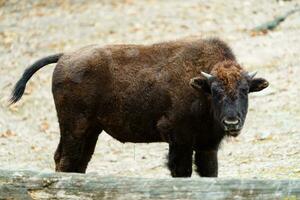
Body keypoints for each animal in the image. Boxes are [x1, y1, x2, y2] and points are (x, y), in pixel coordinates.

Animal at [9, 37, 268, 177]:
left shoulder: (207, 145)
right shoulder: (179, 139)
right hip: (76, 127)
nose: (232, 122)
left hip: (91, 130)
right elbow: (182, 171)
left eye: (244, 90)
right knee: (67, 162)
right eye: (215, 91)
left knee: (75, 162)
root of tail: (65, 56)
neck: (199, 87)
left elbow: (210, 172)